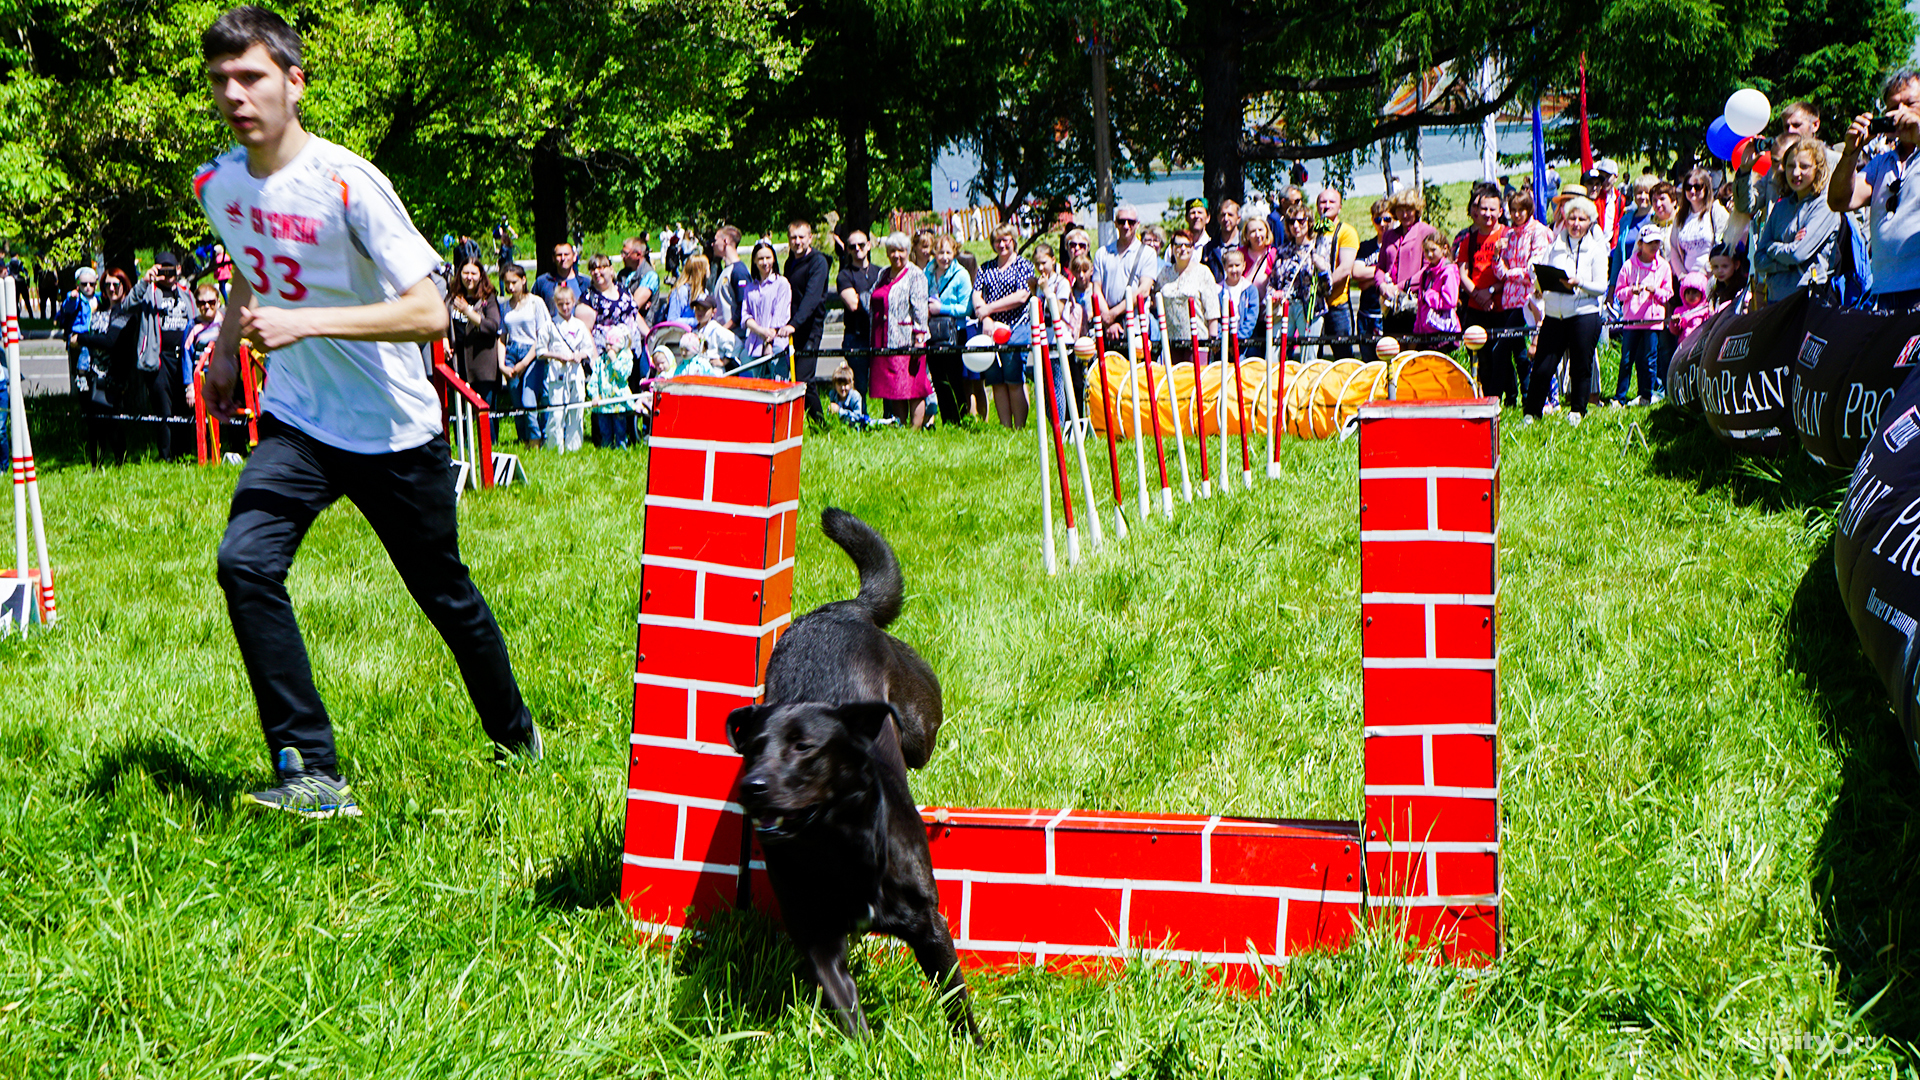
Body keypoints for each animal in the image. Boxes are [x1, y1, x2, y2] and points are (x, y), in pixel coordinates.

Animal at [725, 507, 983, 1037]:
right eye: (752, 750)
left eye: (804, 747)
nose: (752, 787)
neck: (834, 846)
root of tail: (843, 609)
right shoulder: (818, 939)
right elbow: (847, 1009)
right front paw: (863, 1048)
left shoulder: (929, 925)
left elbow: (955, 998)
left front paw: (974, 1046)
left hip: (918, 726)